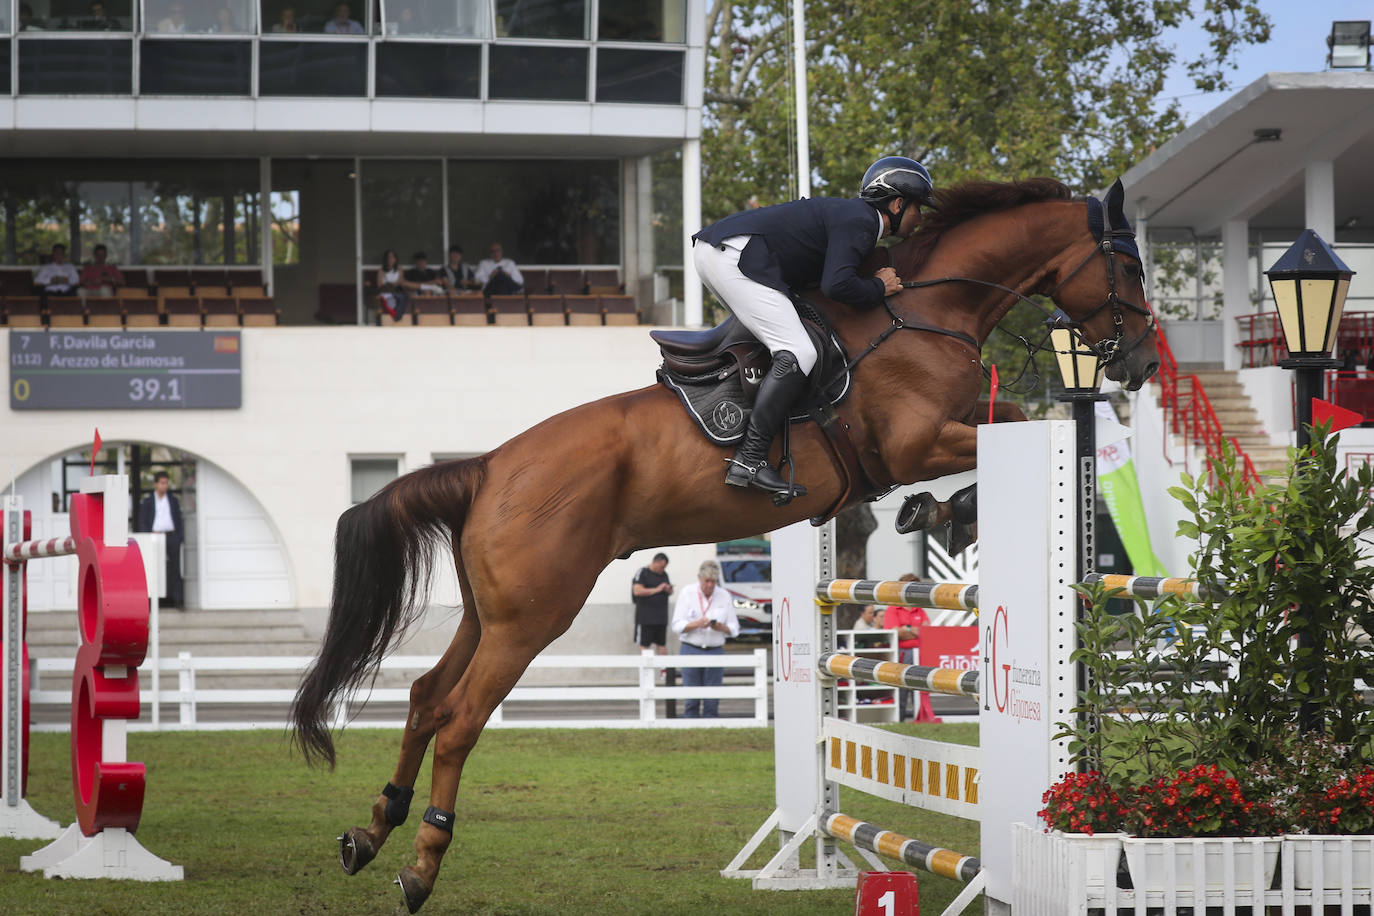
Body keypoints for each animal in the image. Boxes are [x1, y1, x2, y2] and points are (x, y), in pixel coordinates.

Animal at [289, 175, 1159, 911]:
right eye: (1128, 265)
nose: (1145, 361)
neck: (920, 311)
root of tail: (491, 465)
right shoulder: (915, 443)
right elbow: (1009, 416)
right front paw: (945, 511)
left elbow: (1003, 414)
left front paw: (937, 513)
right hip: (532, 618)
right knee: (463, 717)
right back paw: (420, 866)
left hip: (487, 613)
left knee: (426, 699)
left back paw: (370, 833)